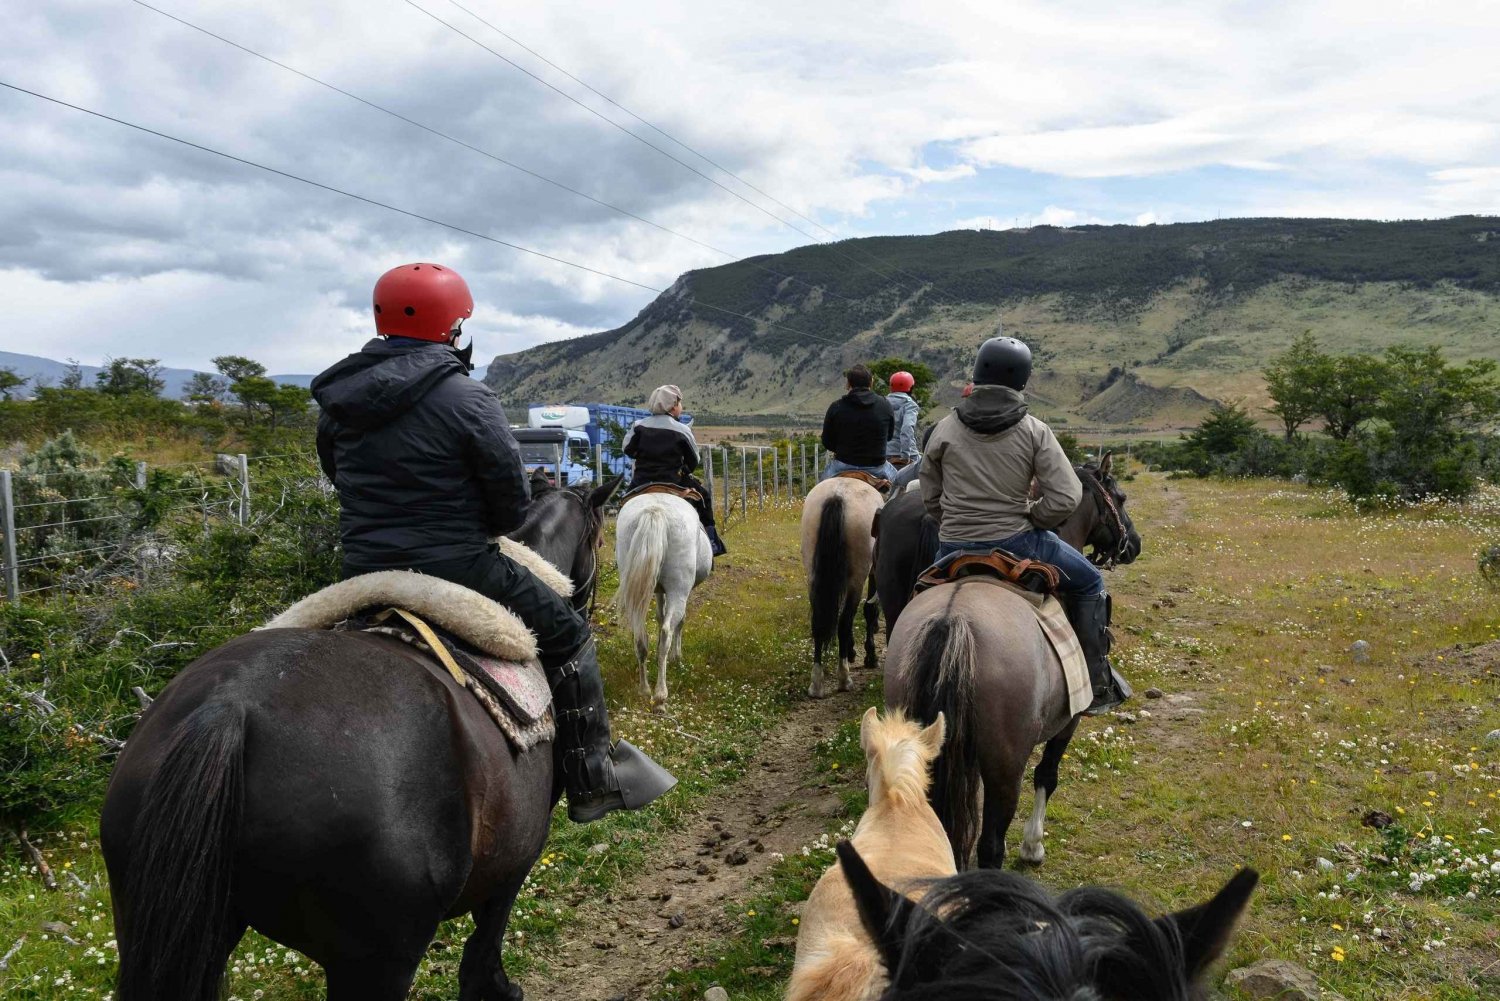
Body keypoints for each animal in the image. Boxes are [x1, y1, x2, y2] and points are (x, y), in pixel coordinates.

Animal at [618, 492, 717, 705]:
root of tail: (655, 510)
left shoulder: (657, 590)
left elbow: (659, 615)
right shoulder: (682, 592)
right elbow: (680, 621)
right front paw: (676, 657)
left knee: (640, 637)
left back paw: (645, 689)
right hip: (678, 590)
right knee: (666, 631)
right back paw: (661, 693)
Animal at [876, 456, 1134, 870]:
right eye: (1120, 497)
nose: (1132, 544)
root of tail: (952, 620)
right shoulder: (1070, 720)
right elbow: (1047, 775)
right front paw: (1033, 846)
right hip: (1004, 768)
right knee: (990, 845)